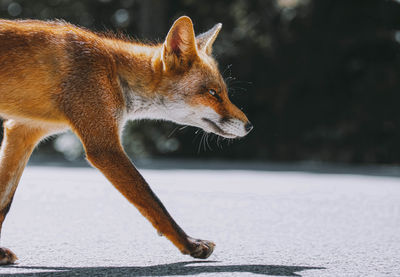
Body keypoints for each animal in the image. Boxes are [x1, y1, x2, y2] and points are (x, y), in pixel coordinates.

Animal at [0, 15, 252, 264]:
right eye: (212, 93)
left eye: (224, 93)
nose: (249, 126)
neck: (114, 70)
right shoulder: (104, 147)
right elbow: (154, 202)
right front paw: (190, 244)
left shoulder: (24, 130)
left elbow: (4, 201)